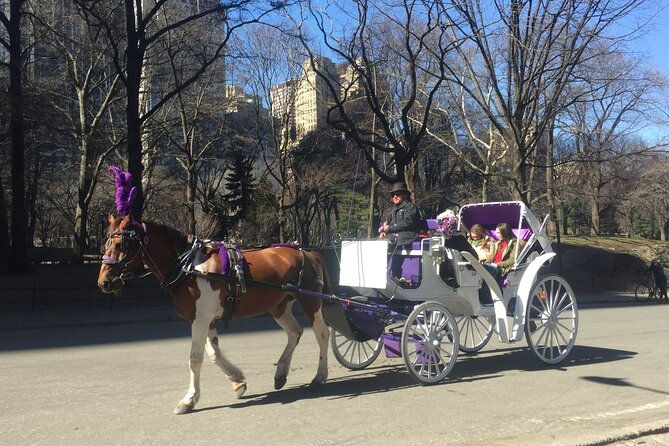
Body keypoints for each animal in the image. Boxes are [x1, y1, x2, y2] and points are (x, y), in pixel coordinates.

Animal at [97, 212, 331, 415]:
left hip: (310, 302)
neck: (190, 267)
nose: (104, 282)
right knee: (295, 332)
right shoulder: (205, 319)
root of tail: (309, 253)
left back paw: (320, 376)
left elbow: (195, 358)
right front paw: (238, 381)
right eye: (105, 243)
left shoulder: (199, 320)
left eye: (120, 244)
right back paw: (281, 372)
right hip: (279, 306)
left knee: (322, 334)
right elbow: (213, 354)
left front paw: (189, 399)